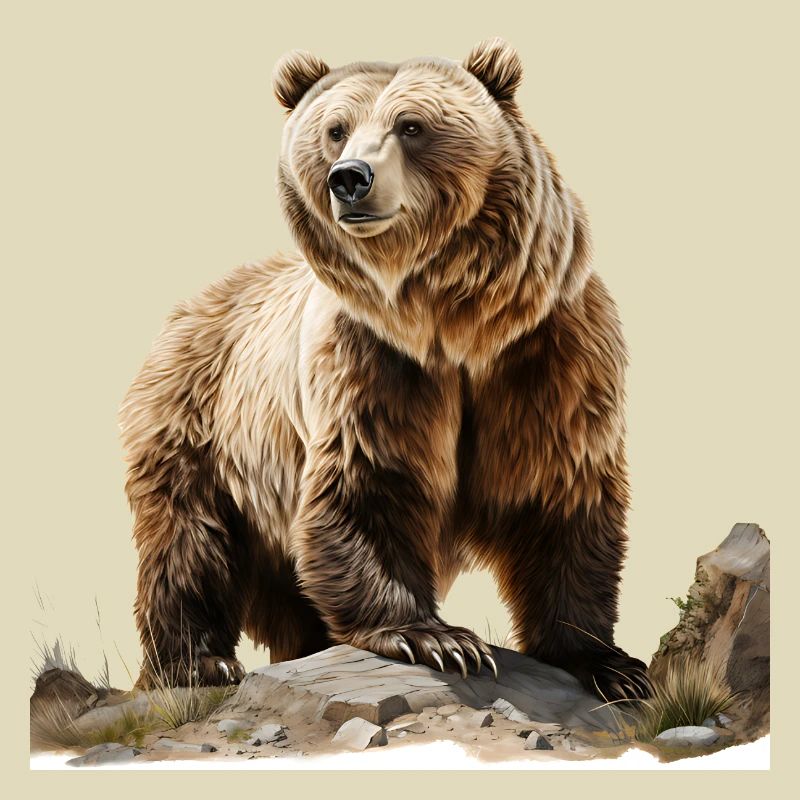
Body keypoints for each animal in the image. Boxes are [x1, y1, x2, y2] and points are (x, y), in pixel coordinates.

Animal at [119, 38, 649, 702]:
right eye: (335, 129)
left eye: (412, 125)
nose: (349, 177)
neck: (452, 325)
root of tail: (188, 310)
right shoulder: (370, 362)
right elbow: (370, 481)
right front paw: (437, 639)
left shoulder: (548, 352)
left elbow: (561, 493)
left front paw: (609, 663)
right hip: (201, 427)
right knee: (189, 543)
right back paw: (197, 663)